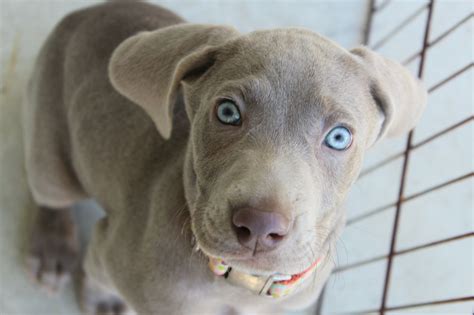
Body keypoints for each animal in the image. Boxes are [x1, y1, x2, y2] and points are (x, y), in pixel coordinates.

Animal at [24, 1, 428, 314]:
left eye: (340, 137)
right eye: (228, 112)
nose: (260, 225)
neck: (236, 285)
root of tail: (85, 12)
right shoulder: (107, 250)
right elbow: (98, 276)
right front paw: (105, 302)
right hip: (50, 145)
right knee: (50, 195)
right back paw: (53, 250)